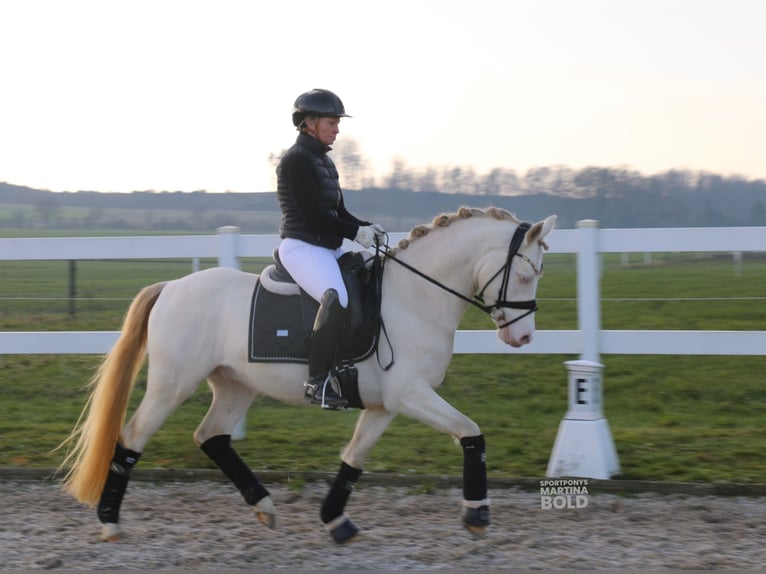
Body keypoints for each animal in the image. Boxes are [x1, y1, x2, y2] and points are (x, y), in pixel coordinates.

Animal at [57, 206, 556, 544]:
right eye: (526, 276)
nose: (523, 337)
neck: (415, 297)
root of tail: (171, 288)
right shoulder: (410, 395)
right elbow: (471, 433)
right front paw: (477, 514)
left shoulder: (385, 404)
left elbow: (354, 457)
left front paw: (336, 520)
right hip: (172, 384)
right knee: (132, 438)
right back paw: (109, 522)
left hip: (235, 386)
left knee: (212, 436)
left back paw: (264, 506)